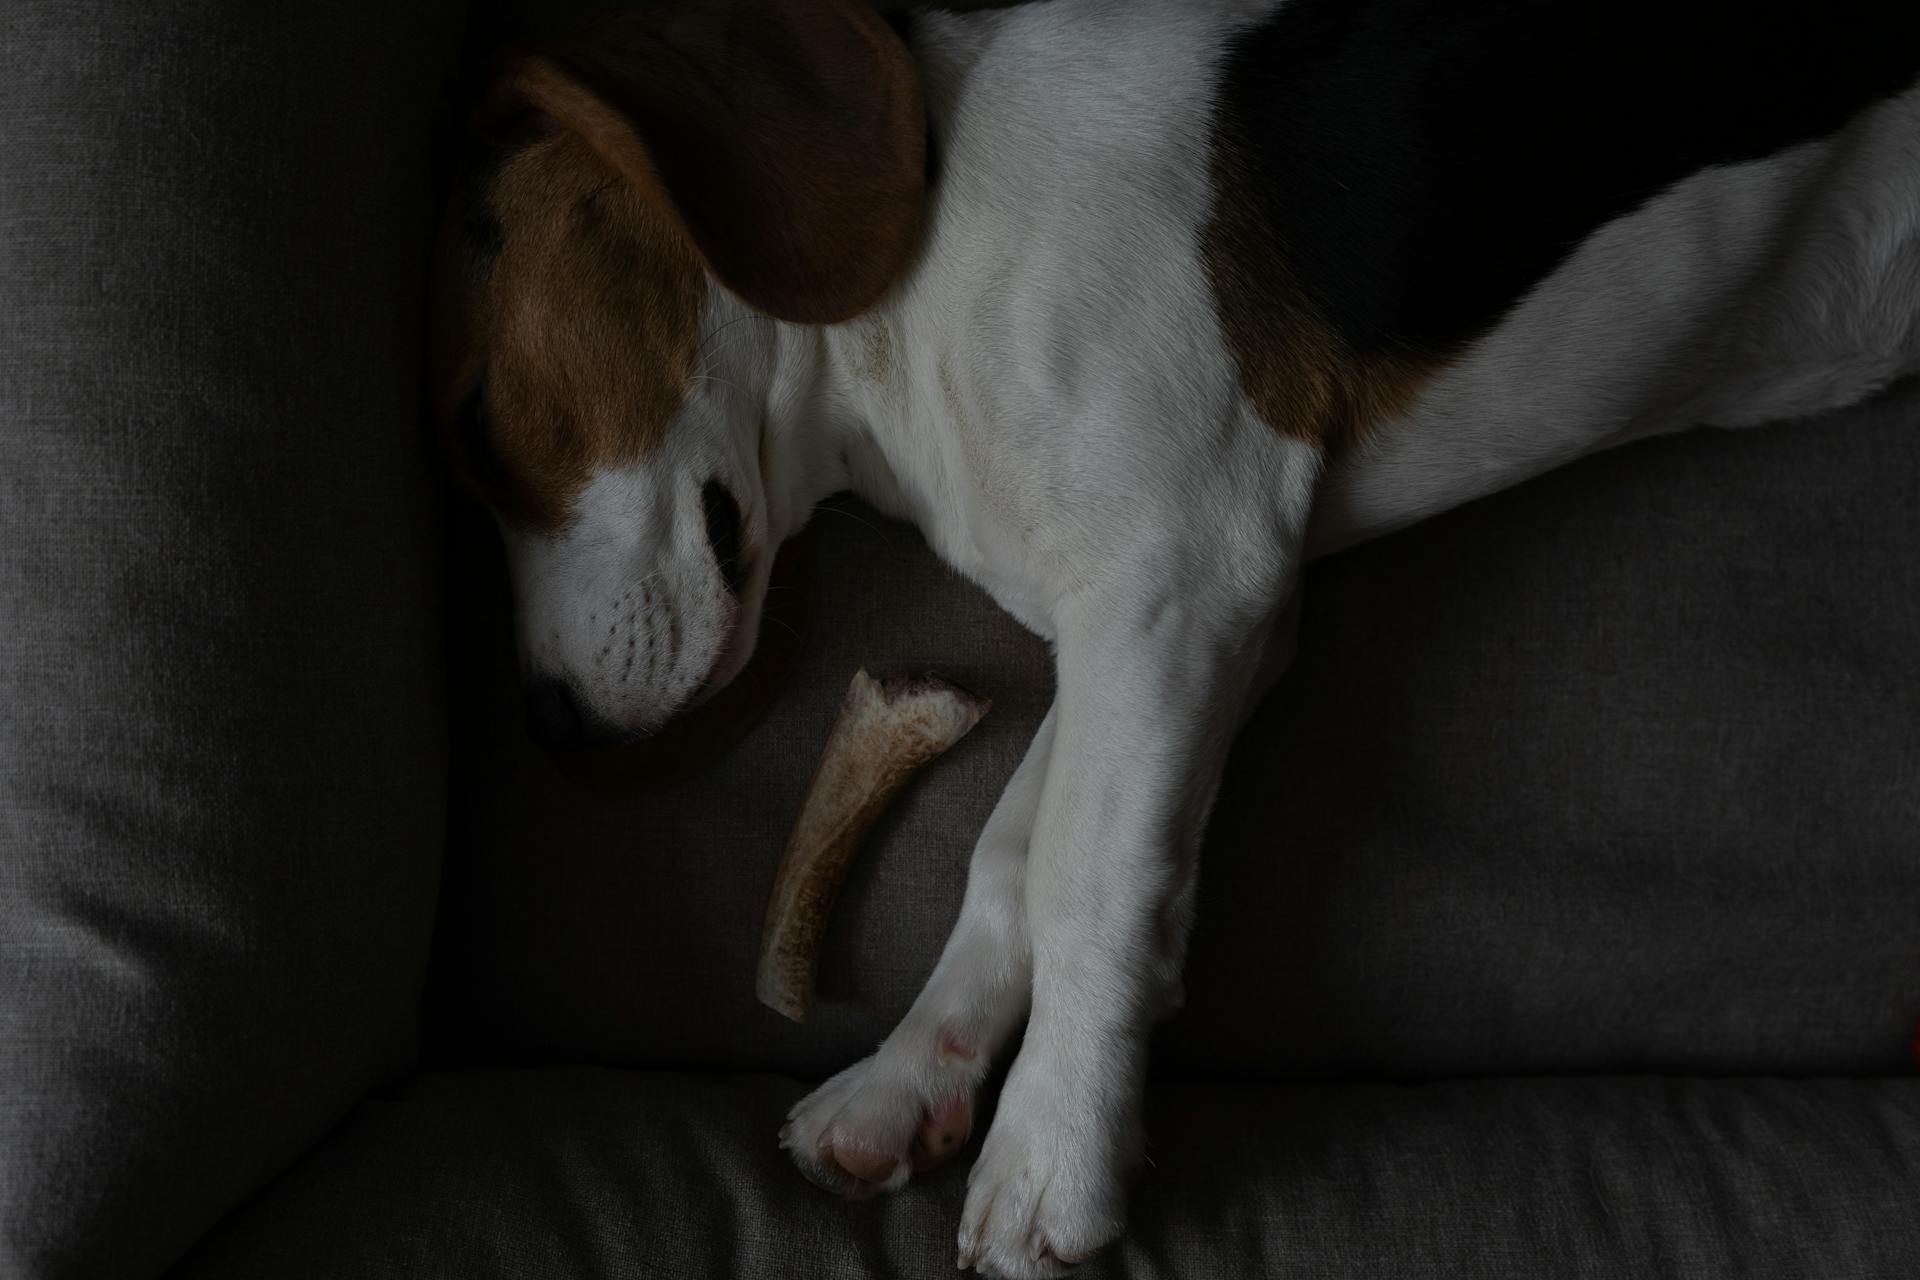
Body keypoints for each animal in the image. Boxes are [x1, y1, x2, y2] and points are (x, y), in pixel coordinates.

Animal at [435, 5, 1920, 1274]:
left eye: (478, 428)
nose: (549, 728)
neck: (914, 298)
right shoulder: (1189, 624)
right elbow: (1016, 855)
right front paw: (919, 1072)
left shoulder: (1173, 578)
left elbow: (1086, 879)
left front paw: (1054, 1148)